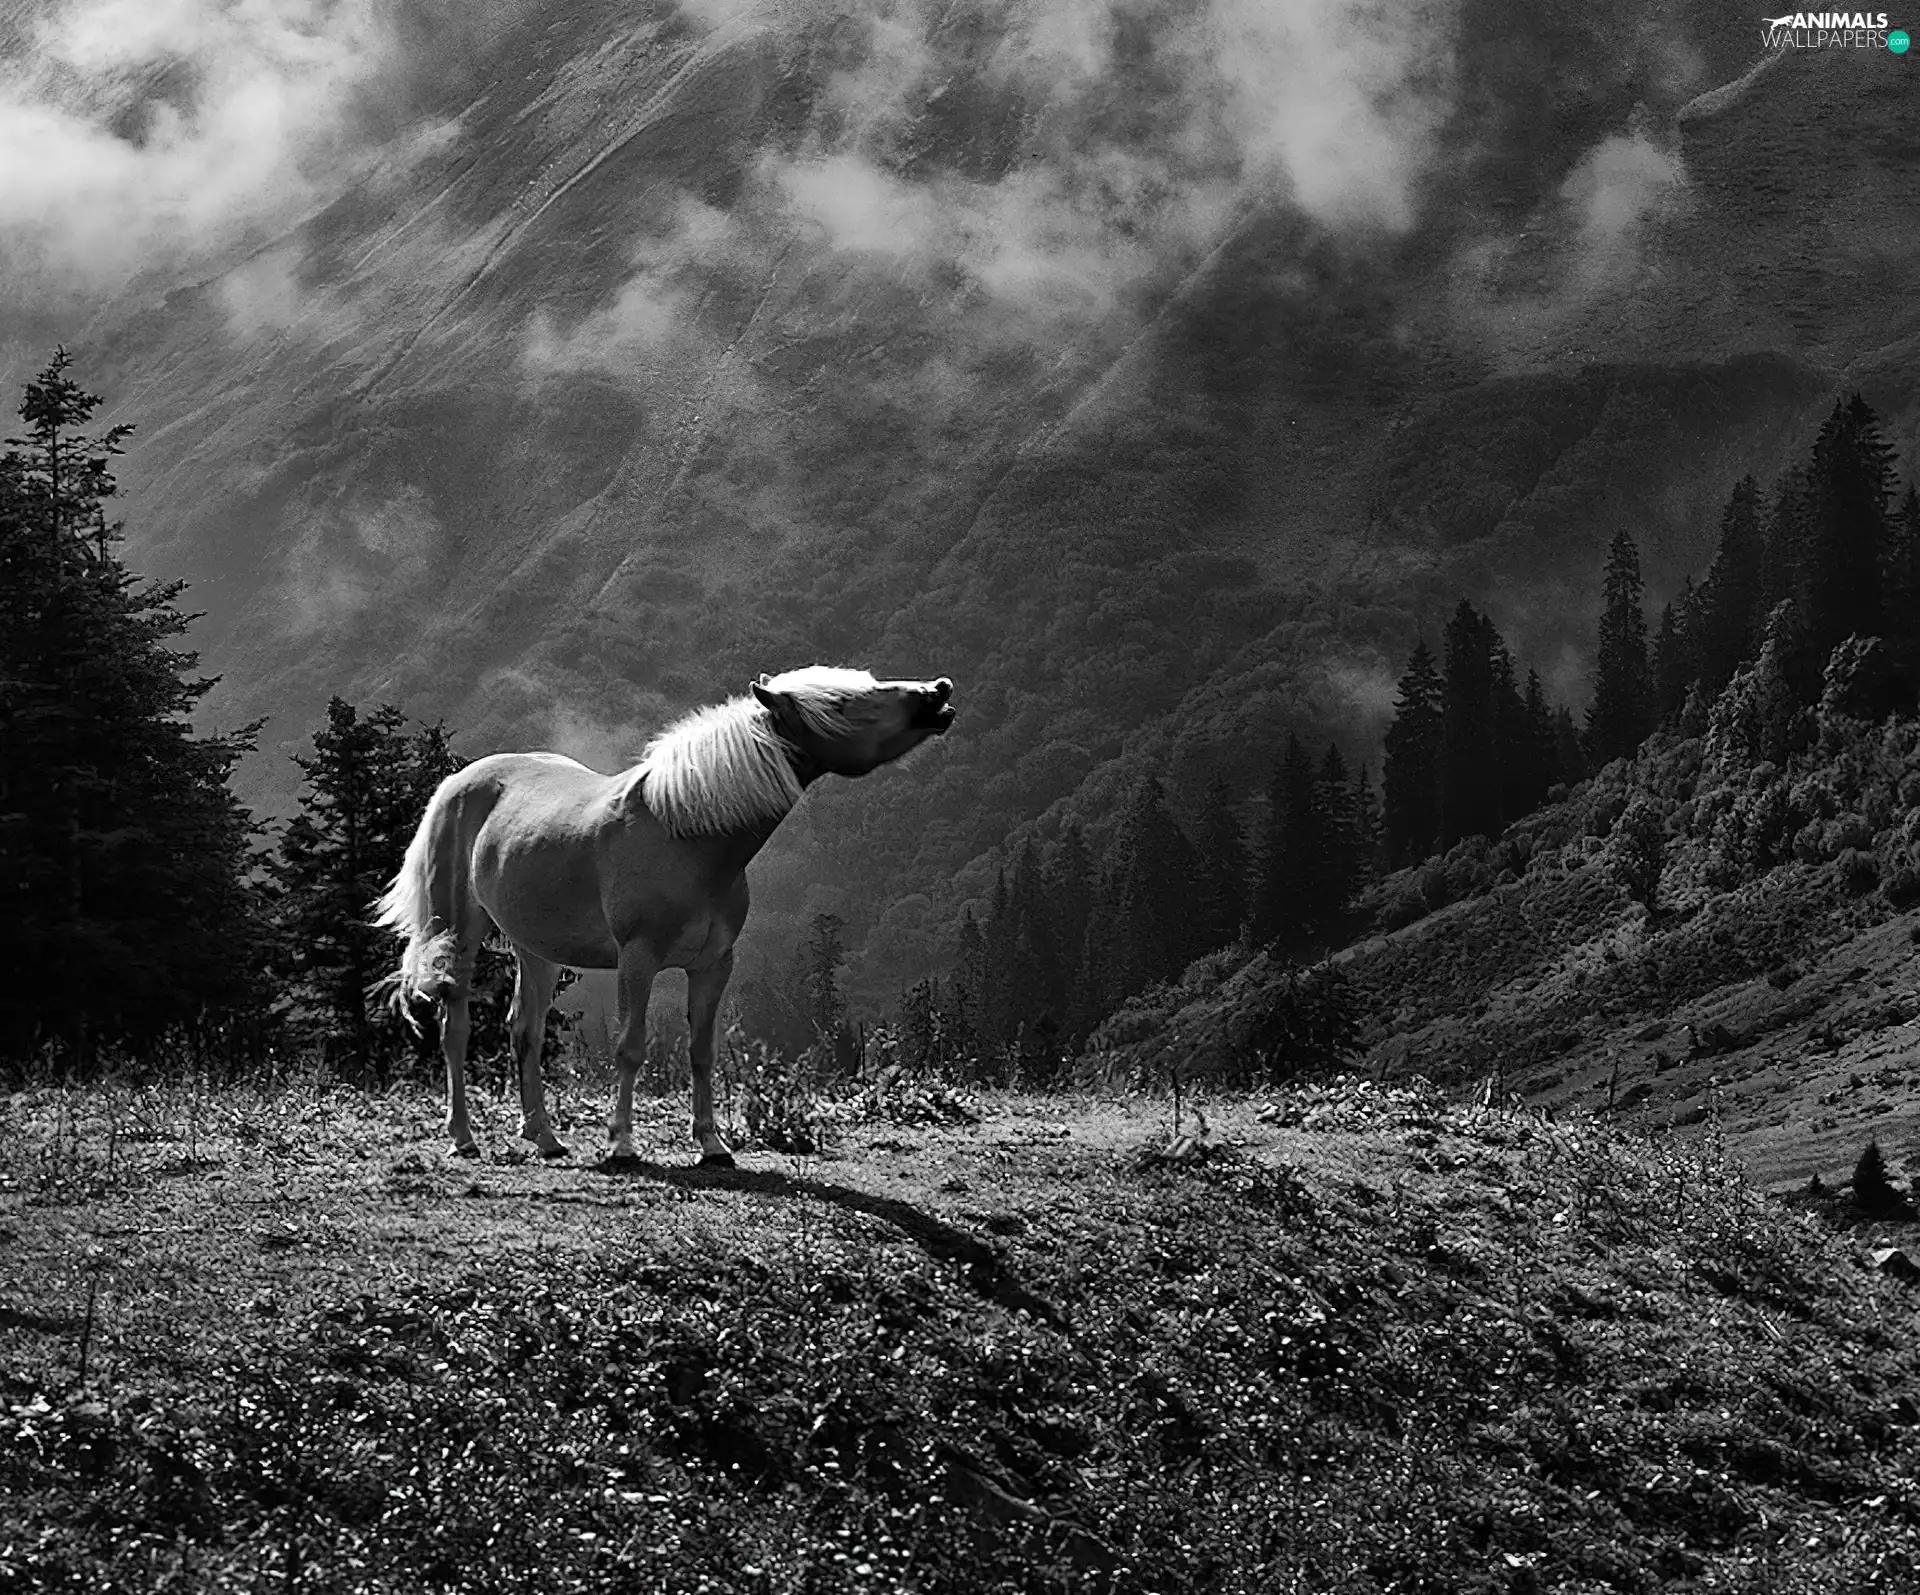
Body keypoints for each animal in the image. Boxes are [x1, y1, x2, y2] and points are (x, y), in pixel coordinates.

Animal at [372, 667, 955, 1164]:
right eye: (842, 703)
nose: (938, 692)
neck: (688, 836)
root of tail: (458, 782)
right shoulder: (639, 960)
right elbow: (631, 1047)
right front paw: (622, 1144)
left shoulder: (714, 964)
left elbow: (702, 1050)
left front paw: (712, 1145)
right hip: (457, 932)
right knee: (455, 1027)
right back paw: (463, 1137)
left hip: (536, 949)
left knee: (525, 1031)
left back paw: (544, 1137)